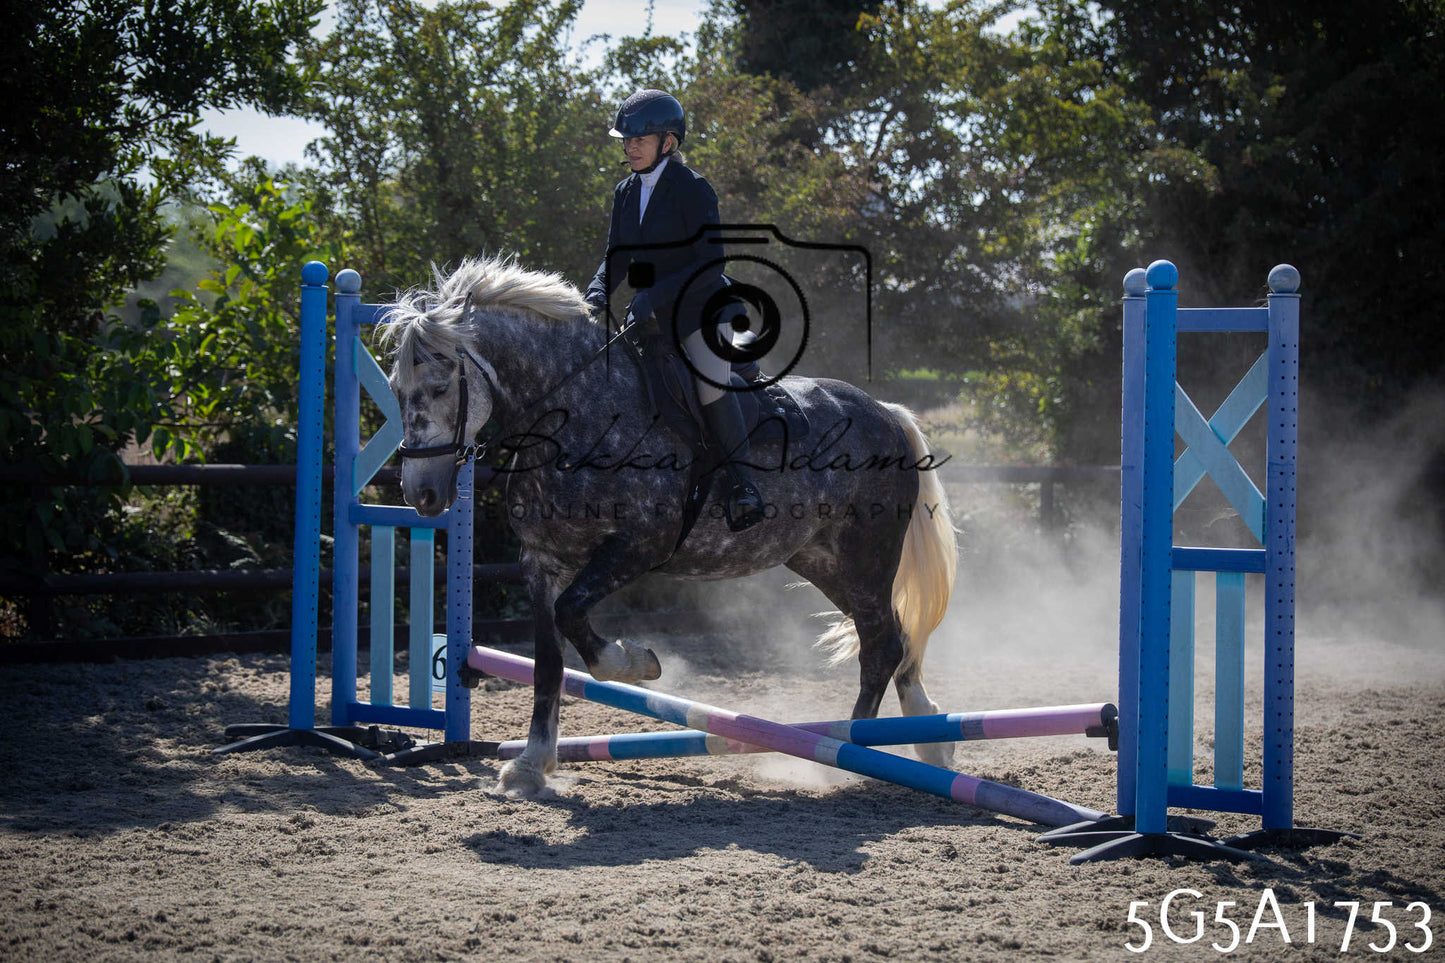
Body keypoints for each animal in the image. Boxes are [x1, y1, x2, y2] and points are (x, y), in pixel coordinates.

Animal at [377, 256, 959, 794]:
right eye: (396, 388)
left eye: (437, 387)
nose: (421, 495)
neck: (580, 406)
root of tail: (885, 413)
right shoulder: (541, 563)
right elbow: (547, 662)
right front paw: (531, 765)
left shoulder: (639, 545)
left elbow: (575, 619)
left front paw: (636, 663)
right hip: (823, 560)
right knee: (893, 637)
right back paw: (929, 742)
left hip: (867, 556)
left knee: (880, 644)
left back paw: (847, 755)